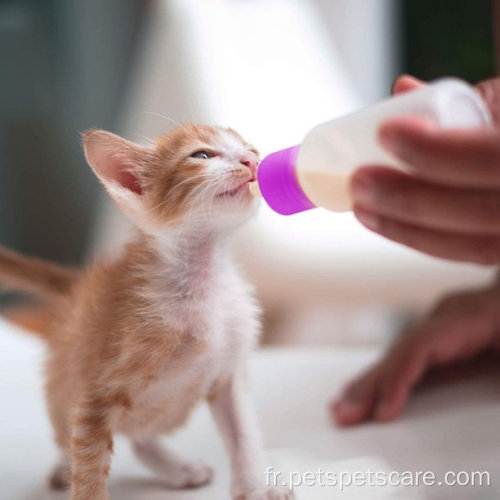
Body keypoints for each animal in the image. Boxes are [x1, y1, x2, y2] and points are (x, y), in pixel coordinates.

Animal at [0, 123, 292, 498]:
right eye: (202, 155)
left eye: (251, 149)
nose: (252, 161)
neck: (202, 282)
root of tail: (79, 286)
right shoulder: (96, 392)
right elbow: (89, 466)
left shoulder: (229, 372)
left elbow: (244, 434)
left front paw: (256, 486)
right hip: (66, 383)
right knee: (71, 434)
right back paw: (64, 467)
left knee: (140, 437)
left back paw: (177, 468)